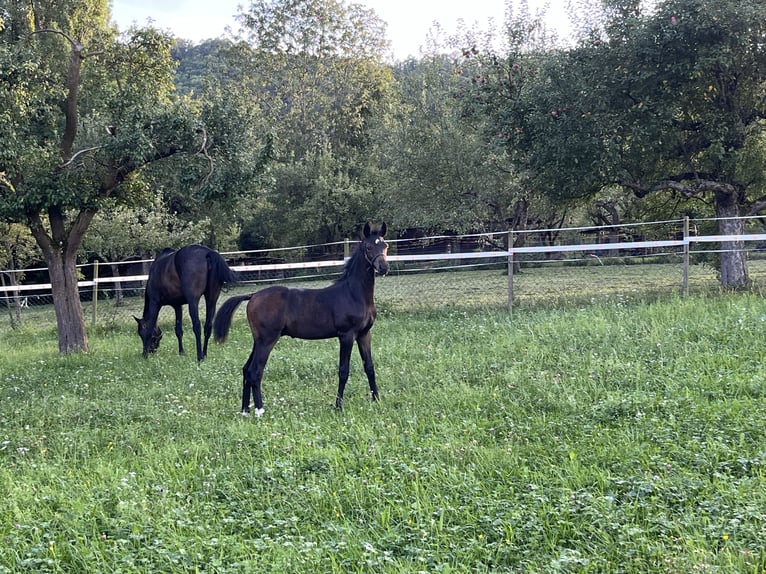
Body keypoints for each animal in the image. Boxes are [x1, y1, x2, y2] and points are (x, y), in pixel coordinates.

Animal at [214, 223, 390, 416]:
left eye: (385, 245)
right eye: (368, 247)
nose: (383, 267)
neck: (354, 294)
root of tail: (253, 295)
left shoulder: (364, 334)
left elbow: (370, 367)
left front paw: (377, 400)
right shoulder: (347, 336)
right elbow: (344, 370)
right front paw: (338, 406)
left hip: (258, 340)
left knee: (246, 370)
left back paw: (245, 410)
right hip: (267, 340)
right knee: (255, 371)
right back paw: (260, 410)